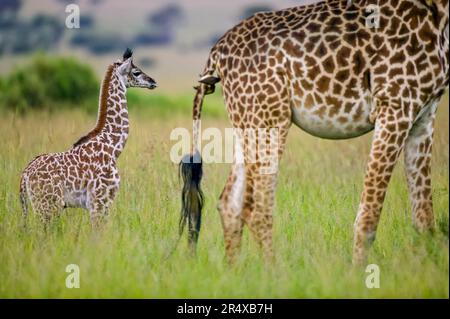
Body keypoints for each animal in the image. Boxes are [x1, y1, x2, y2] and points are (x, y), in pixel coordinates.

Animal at [19, 49, 156, 228]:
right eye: (136, 72)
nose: (153, 82)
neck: (113, 147)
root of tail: (25, 175)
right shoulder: (100, 200)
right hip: (48, 206)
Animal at [180, 0, 450, 264]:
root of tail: (217, 52)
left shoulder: (424, 115)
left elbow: (424, 219)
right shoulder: (396, 104)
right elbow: (368, 217)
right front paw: (357, 273)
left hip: (246, 123)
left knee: (230, 203)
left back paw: (235, 273)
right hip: (269, 119)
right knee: (257, 208)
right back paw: (272, 273)